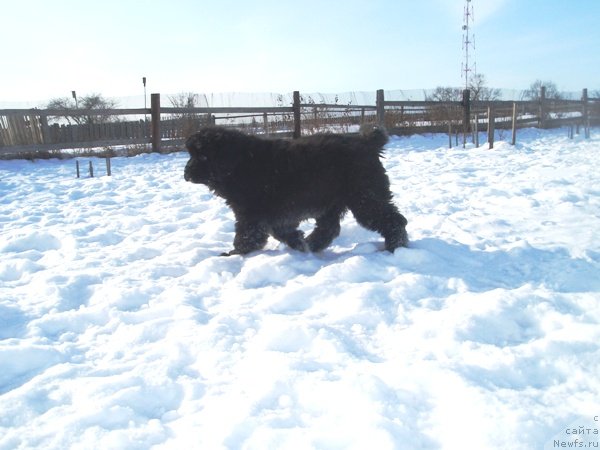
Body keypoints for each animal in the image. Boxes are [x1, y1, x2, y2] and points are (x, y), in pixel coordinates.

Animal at [184, 125, 408, 256]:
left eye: (202, 156)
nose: (186, 173)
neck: (239, 164)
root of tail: (368, 143)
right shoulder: (274, 214)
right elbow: (281, 231)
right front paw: (298, 243)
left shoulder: (251, 214)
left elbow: (247, 235)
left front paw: (235, 254)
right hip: (332, 202)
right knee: (329, 228)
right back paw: (311, 246)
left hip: (364, 197)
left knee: (394, 220)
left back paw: (395, 247)